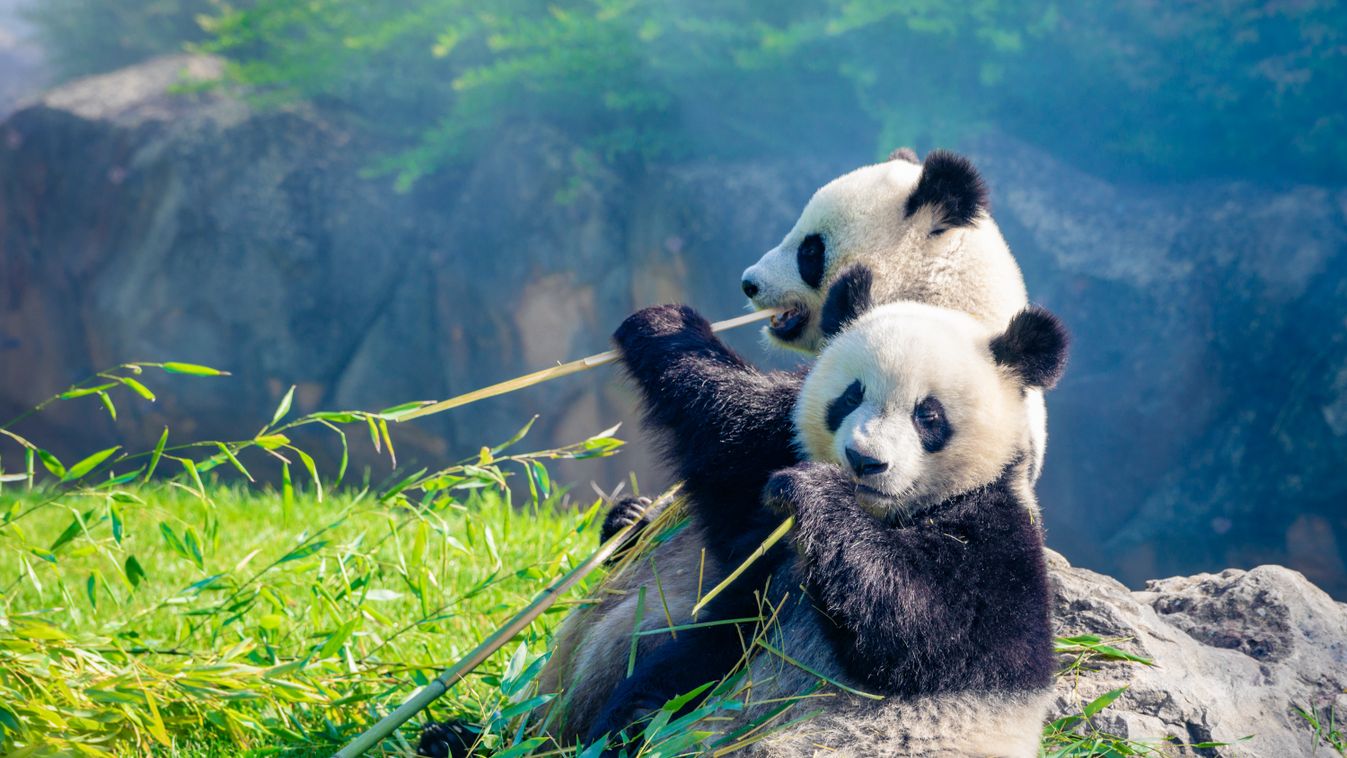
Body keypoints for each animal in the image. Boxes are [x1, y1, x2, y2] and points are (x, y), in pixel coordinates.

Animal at [584, 300, 1066, 753]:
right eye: (850, 397)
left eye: (928, 415)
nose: (864, 461)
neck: (883, 514)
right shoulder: (768, 502)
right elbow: (730, 430)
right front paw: (664, 325)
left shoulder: (999, 550)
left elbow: (923, 625)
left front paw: (813, 490)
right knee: (658, 695)